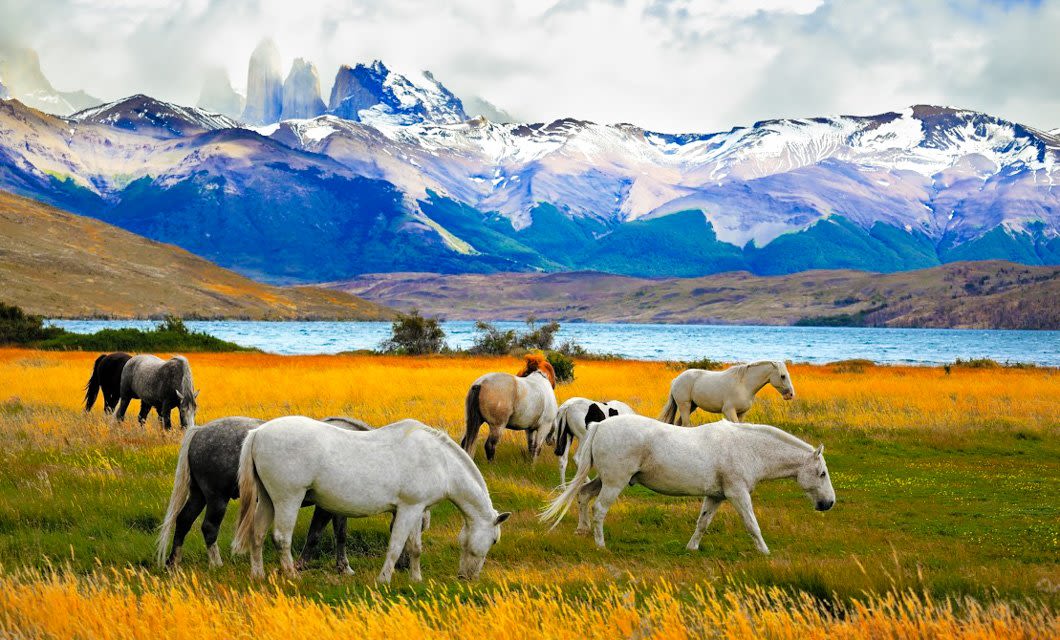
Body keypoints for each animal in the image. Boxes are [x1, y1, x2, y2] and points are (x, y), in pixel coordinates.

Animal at [157, 415, 417, 573]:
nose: (404, 564)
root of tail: (200, 431)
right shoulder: (326, 507)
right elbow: (315, 535)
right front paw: (301, 565)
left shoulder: (340, 506)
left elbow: (340, 535)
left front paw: (343, 567)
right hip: (216, 498)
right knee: (209, 527)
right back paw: (216, 563)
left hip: (199, 494)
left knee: (183, 521)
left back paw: (172, 563)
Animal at [231, 416, 510, 583]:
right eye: (494, 540)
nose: (468, 577)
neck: (440, 461)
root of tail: (258, 432)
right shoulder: (408, 509)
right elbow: (396, 546)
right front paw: (383, 580)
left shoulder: (416, 509)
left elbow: (415, 548)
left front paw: (416, 579)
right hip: (287, 499)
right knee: (281, 538)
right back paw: (292, 576)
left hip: (268, 499)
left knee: (257, 534)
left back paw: (258, 575)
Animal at [541, 405, 834, 554]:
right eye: (822, 473)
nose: (828, 503)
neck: (747, 447)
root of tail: (599, 425)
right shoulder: (738, 494)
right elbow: (752, 525)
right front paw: (765, 551)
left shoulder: (716, 496)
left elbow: (702, 523)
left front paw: (692, 547)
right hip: (615, 482)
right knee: (599, 508)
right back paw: (600, 544)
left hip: (605, 479)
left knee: (583, 494)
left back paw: (582, 530)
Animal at [659, 360, 795, 425]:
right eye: (782, 376)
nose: (791, 395)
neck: (744, 385)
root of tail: (676, 380)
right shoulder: (729, 411)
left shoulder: (741, 413)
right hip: (685, 406)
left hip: (692, 406)